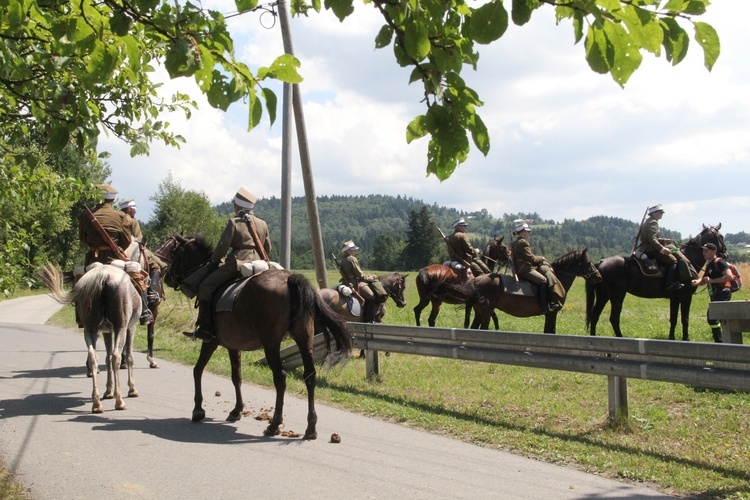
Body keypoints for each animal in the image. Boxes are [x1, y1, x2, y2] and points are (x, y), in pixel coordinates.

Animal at [40, 264, 141, 412]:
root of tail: (103, 276)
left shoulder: (106, 331)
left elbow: (107, 358)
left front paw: (108, 391)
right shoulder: (130, 328)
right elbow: (128, 357)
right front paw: (132, 389)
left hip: (90, 328)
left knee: (93, 357)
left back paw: (97, 403)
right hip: (120, 327)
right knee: (116, 356)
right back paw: (119, 401)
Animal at [156, 232, 356, 440]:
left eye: (174, 252)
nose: (167, 278)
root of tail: (290, 279)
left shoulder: (211, 341)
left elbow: (198, 370)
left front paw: (198, 410)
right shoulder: (233, 345)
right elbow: (236, 376)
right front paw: (236, 411)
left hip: (271, 343)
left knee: (280, 377)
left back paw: (274, 424)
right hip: (304, 339)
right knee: (309, 376)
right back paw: (310, 428)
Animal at [472, 248, 604, 334]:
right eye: (588, 263)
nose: (599, 277)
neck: (558, 278)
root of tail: (475, 280)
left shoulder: (549, 315)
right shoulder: (552, 313)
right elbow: (550, 332)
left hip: (479, 312)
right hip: (486, 312)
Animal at [588, 225, 728, 342]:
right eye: (721, 236)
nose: (725, 254)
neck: (687, 260)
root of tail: (600, 263)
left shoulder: (675, 298)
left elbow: (673, 318)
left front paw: (671, 338)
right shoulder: (686, 297)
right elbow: (685, 319)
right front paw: (686, 339)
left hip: (603, 296)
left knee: (595, 315)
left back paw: (593, 337)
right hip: (617, 296)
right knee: (614, 318)